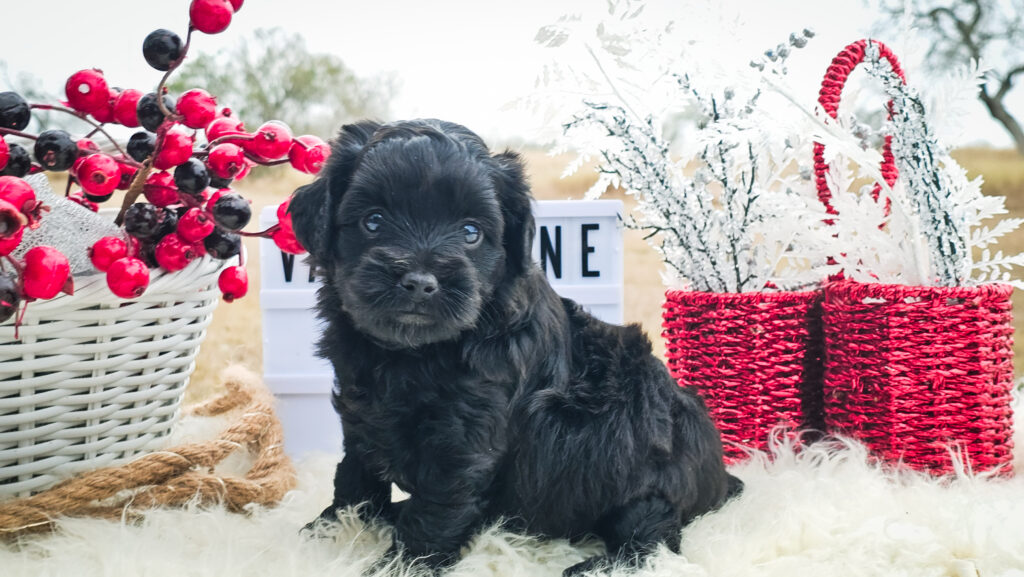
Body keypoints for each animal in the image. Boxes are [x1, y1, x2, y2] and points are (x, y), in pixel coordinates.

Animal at [288, 119, 737, 573]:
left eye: (471, 232)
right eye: (374, 221)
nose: (419, 282)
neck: (413, 351)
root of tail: (720, 478)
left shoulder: (465, 437)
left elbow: (437, 505)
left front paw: (402, 564)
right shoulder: (362, 407)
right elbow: (355, 471)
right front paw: (333, 529)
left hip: (640, 468)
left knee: (655, 535)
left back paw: (595, 565)